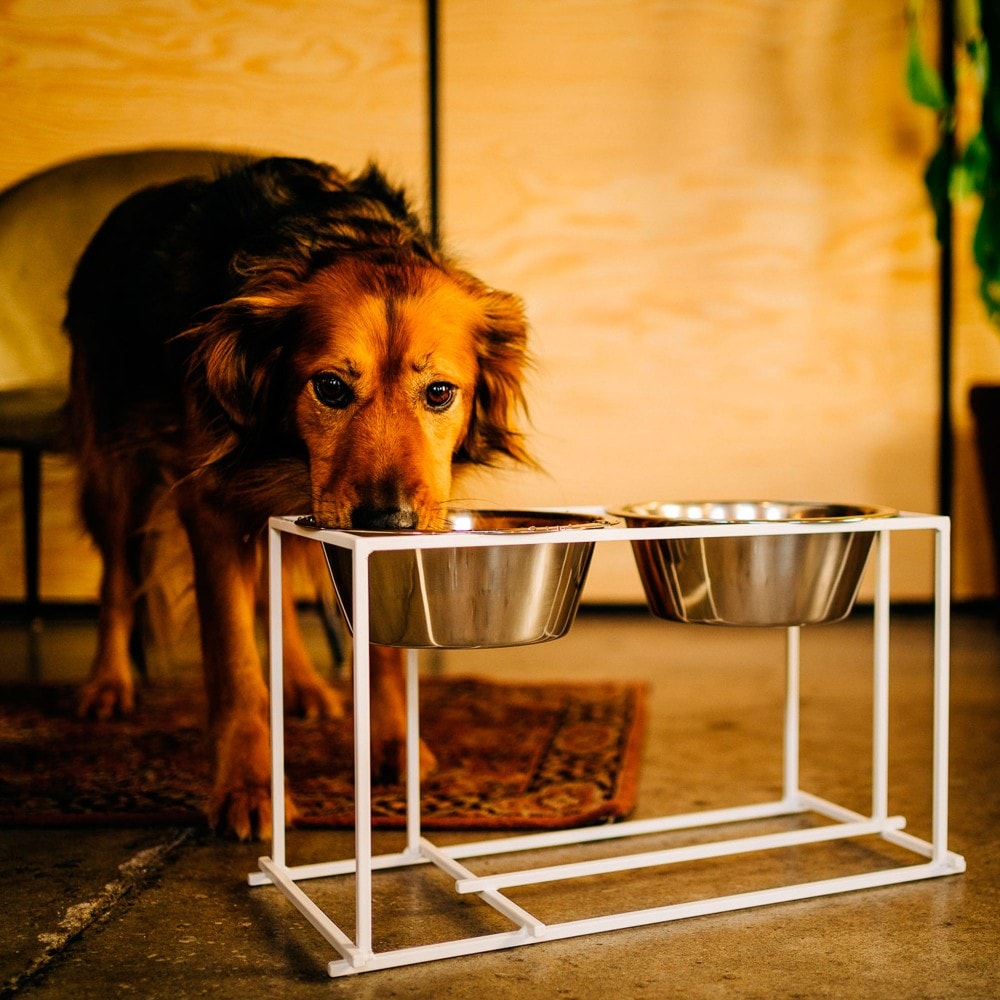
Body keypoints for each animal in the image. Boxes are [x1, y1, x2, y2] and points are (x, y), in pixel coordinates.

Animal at [64, 156, 532, 840]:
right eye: (330, 387)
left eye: (440, 393)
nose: (386, 519)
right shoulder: (212, 507)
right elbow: (235, 667)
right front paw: (248, 786)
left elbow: (376, 650)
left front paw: (394, 745)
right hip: (115, 466)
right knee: (118, 578)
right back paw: (106, 684)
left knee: (275, 591)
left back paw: (302, 685)